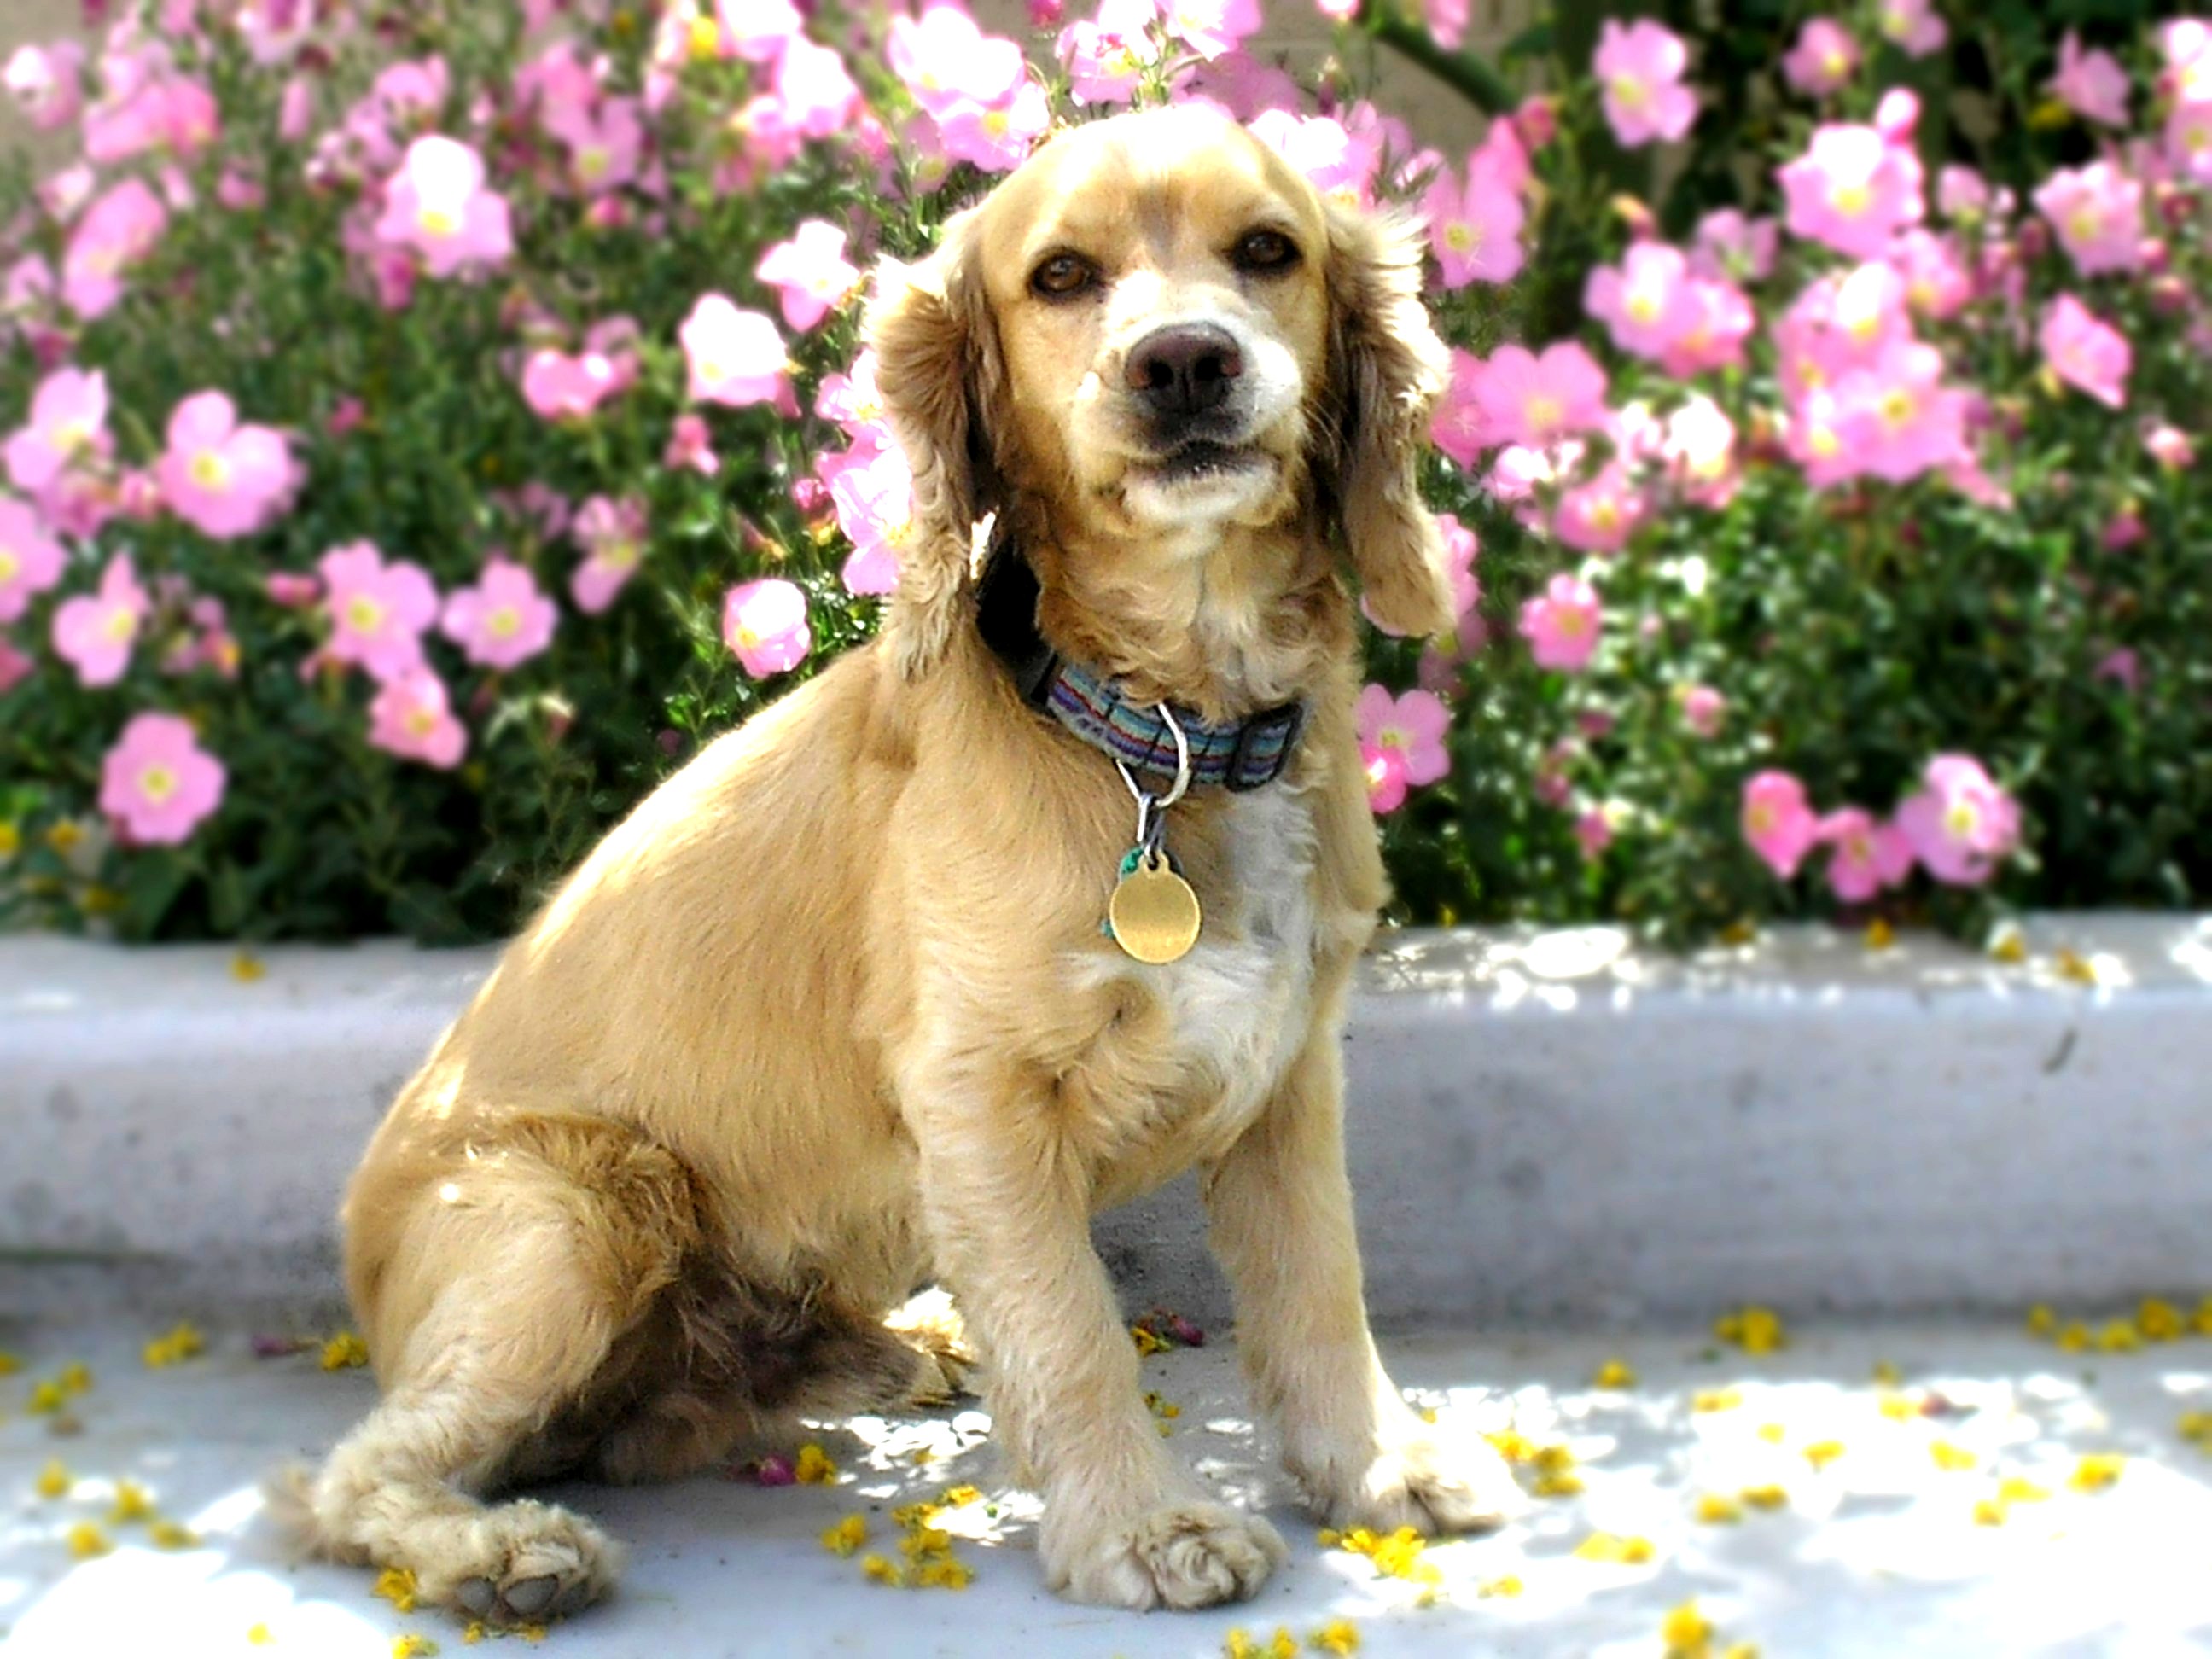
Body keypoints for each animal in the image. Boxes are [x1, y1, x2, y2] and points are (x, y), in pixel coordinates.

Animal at [281, 103, 1522, 1627]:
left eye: (1268, 251)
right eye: (1061, 277)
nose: (1183, 362)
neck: (1168, 735)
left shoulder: (1288, 1073)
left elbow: (1317, 1291)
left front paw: (1379, 1469)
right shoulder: (978, 1097)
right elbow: (1073, 1327)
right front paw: (1147, 1528)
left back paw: (885, 1346)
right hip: (572, 1218)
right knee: (353, 1479)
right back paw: (502, 1552)